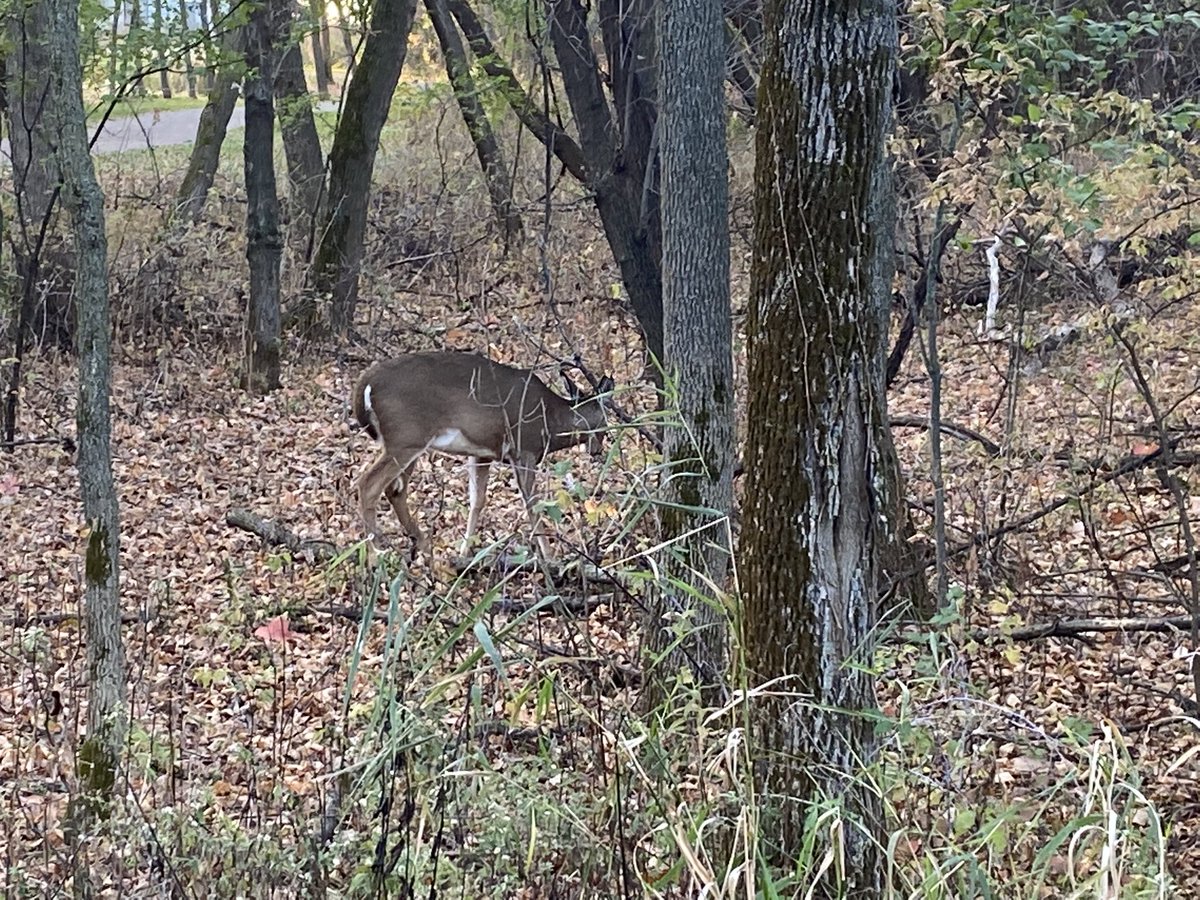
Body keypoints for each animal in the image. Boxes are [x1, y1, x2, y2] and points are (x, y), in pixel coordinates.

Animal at [351, 350, 612, 560]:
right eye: (605, 419)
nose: (598, 450)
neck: (551, 420)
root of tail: (366, 383)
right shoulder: (524, 449)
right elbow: (532, 504)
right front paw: (551, 558)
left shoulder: (481, 454)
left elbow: (477, 501)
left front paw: (464, 554)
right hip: (405, 438)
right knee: (369, 484)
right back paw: (375, 556)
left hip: (409, 443)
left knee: (395, 490)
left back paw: (423, 547)